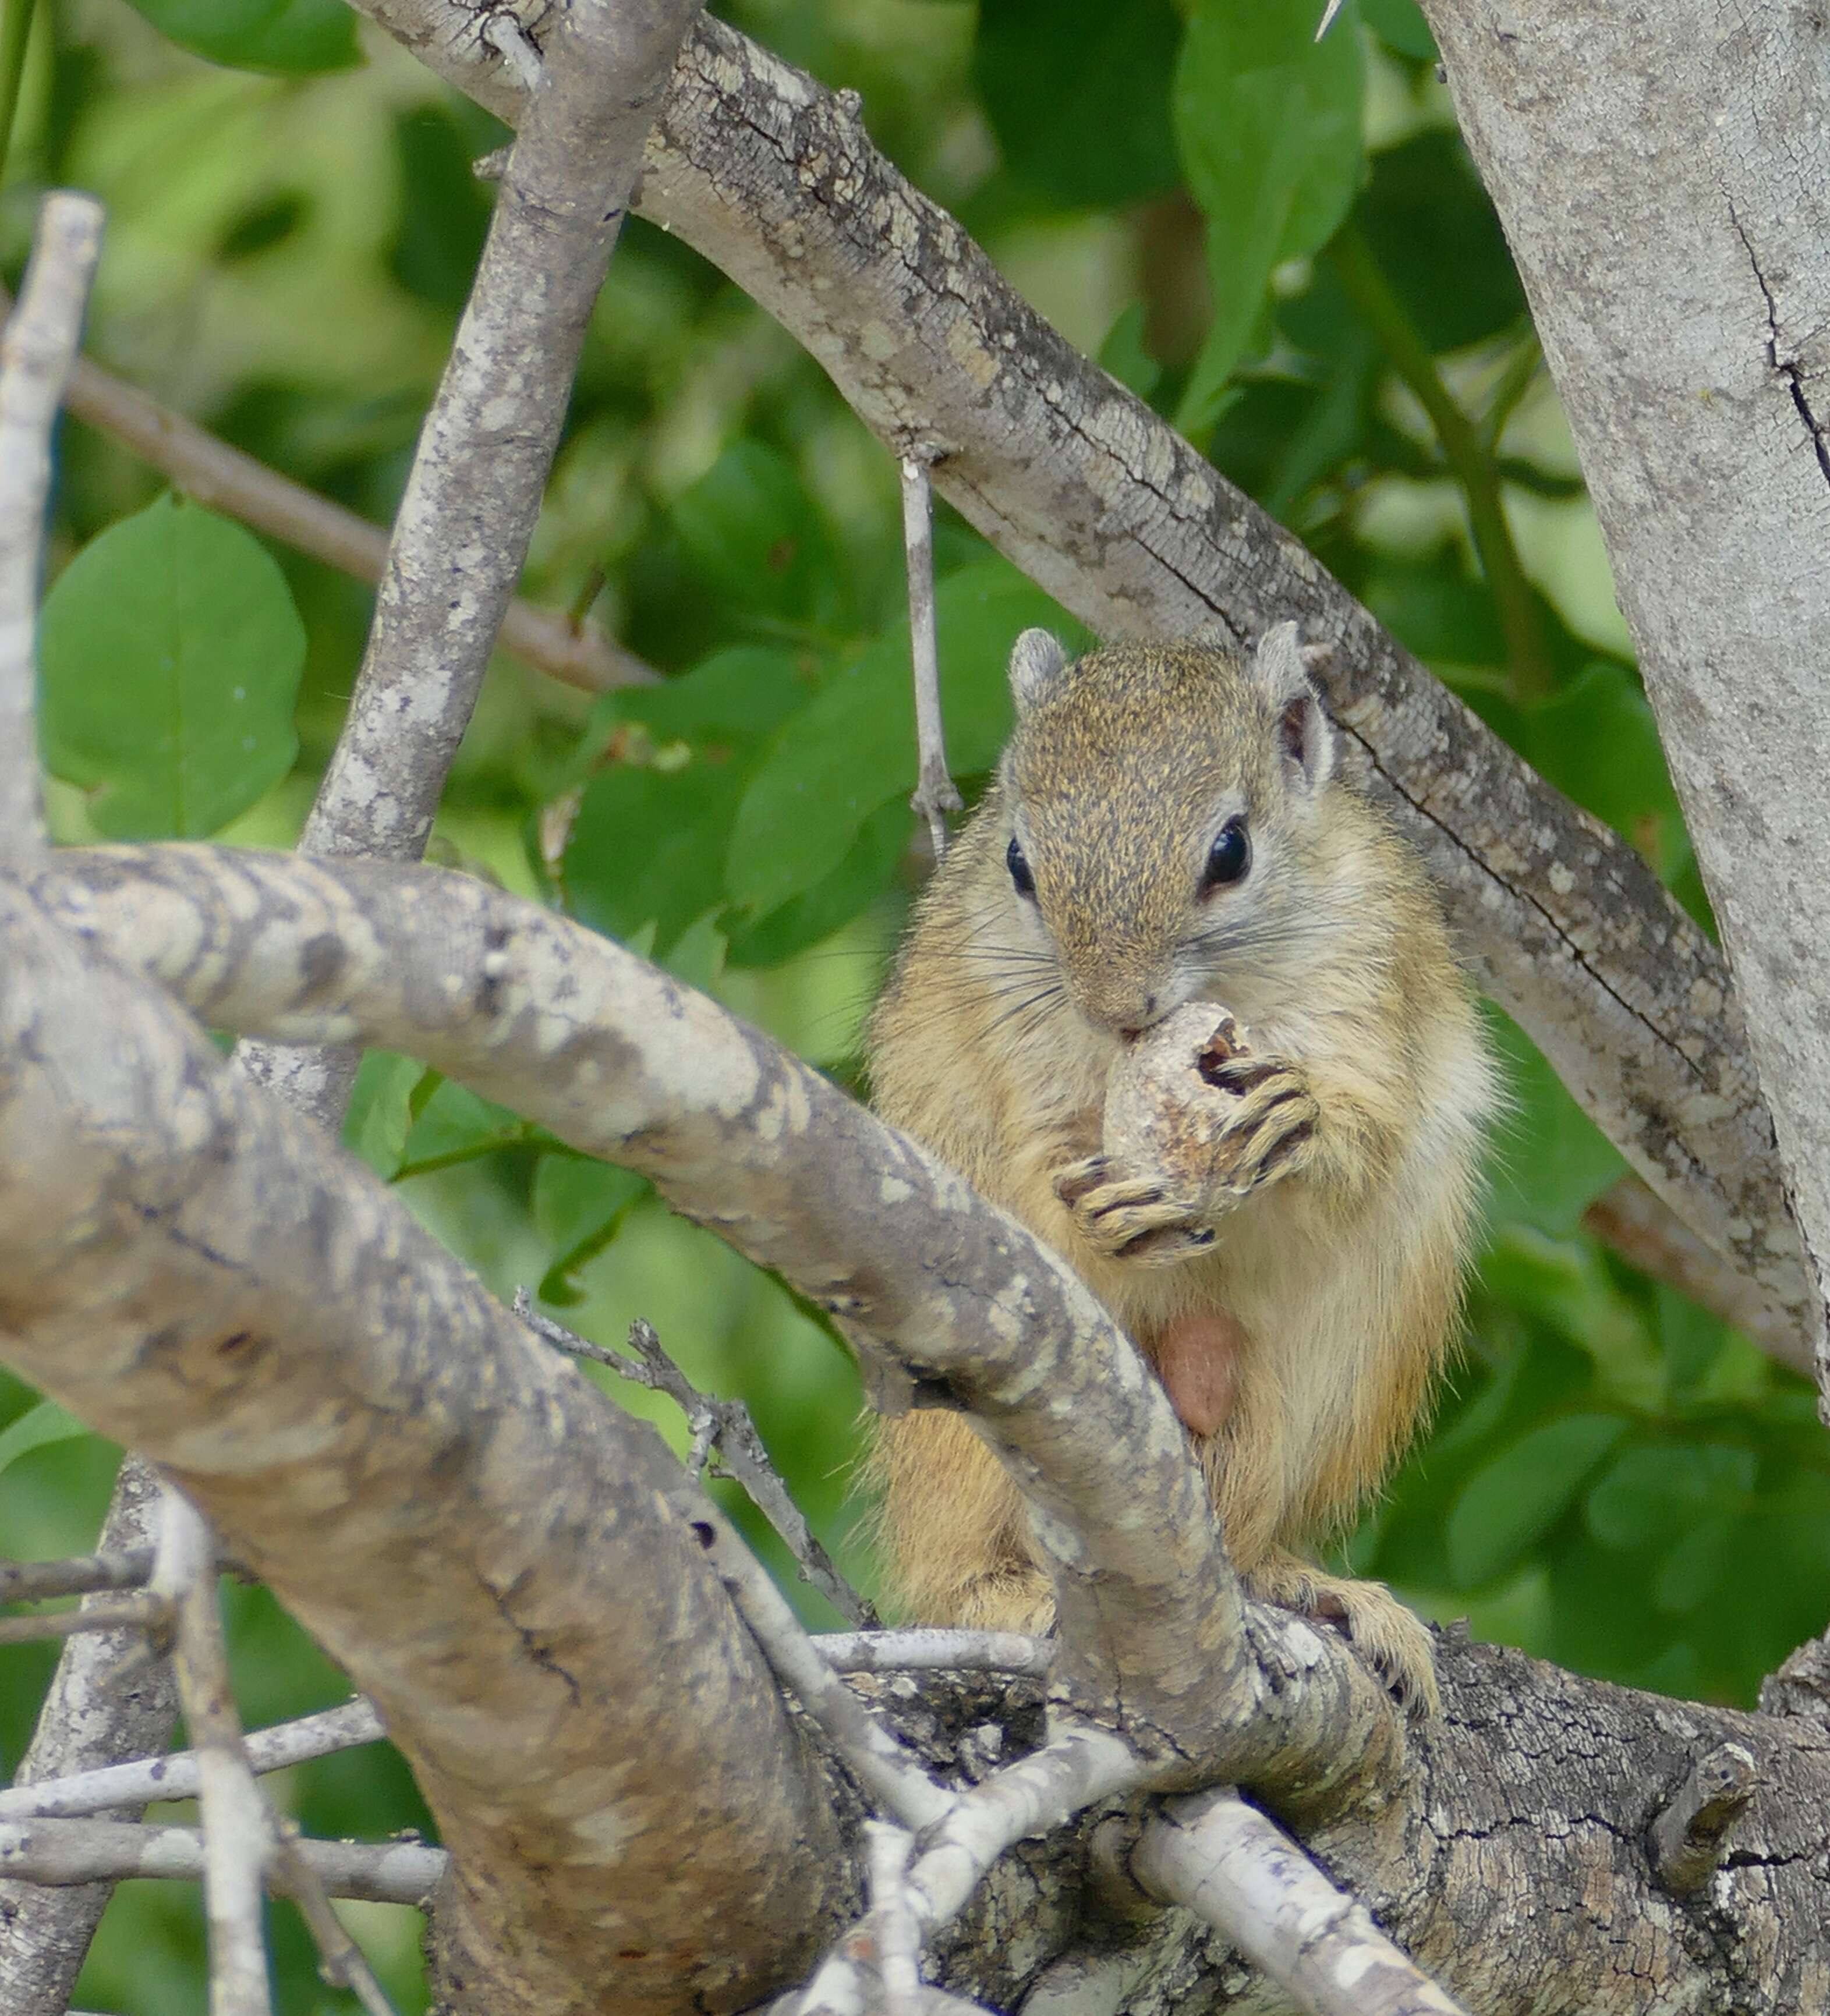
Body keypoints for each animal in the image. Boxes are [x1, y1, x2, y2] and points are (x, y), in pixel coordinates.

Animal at [866, 621, 1491, 1709]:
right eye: (1017, 861)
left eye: (1229, 850)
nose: (1118, 1007)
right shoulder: (1013, 1042)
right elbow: (1035, 1173)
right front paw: (1096, 1213)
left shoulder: (1373, 974)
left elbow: (1366, 1134)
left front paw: (1301, 1118)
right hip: (957, 1435)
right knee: (953, 1565)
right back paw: (1008, 1596)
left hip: (1335, 1369)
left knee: (1237, 1538)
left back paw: (1305, 1586)